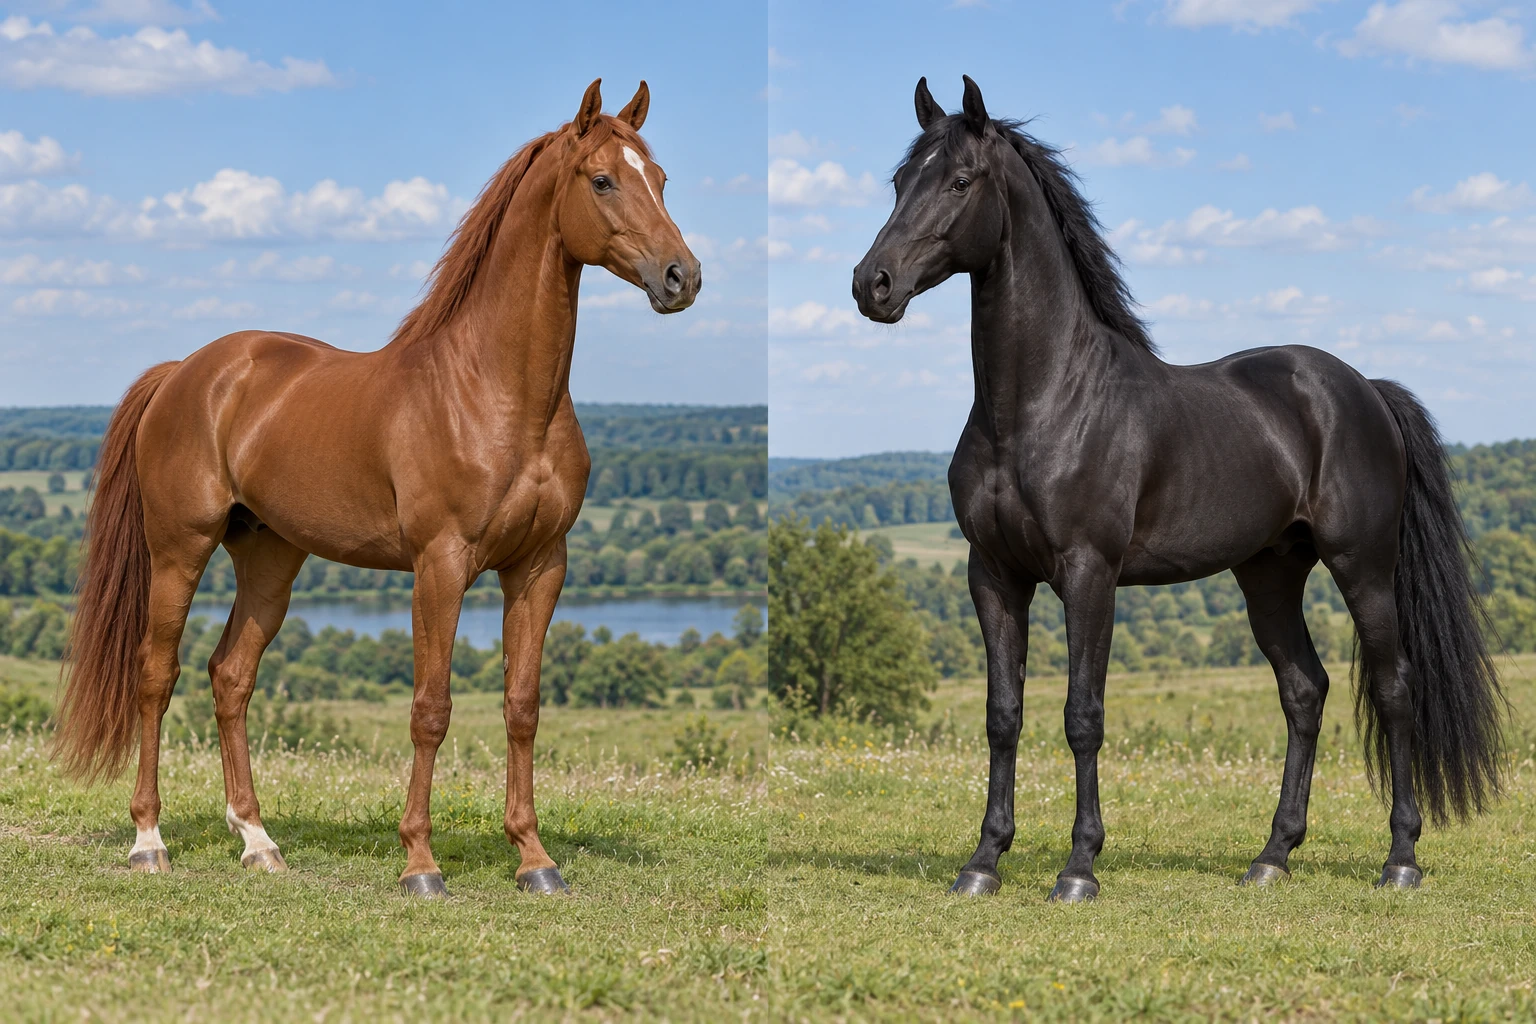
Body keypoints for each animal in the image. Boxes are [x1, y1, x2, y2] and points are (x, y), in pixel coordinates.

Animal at [53, 79, 701, 898]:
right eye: (603, 180)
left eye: (663, 178)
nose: (682, 277)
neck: (497, 393)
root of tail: (187, 372)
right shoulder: (440, 566)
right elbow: (431, 708)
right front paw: (421, 864)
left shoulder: (540, 566)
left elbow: (522, 707)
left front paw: (534, 858)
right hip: (179, 550)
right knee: (155, 674)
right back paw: (148, 839)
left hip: (270, 559)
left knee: (231, 676)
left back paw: (258, 841)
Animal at [852, 76, 1503, 902]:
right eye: (900, 182)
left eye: (961, 181)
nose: (871, 285)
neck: (1040, 404)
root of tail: (1363, 390)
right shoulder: (992, 574)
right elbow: (1004, 715)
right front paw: (983, 862)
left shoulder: (1089, 574)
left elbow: (1082, 715)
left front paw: (1079, 869)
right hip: (1268, 574)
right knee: (1305, 691)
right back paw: (1272, 856)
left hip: (1363, 567)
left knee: (1393, 689)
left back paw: (1400, 859)